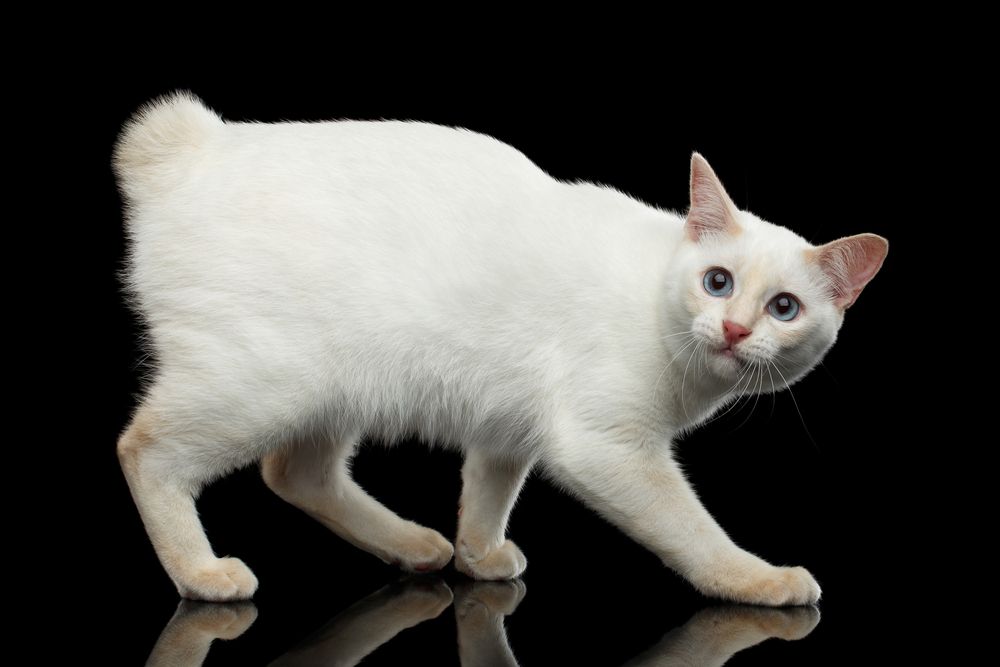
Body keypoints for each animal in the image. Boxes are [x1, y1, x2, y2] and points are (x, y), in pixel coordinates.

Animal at [113, 91, 888, 608]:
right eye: (717, 282)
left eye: (784, 308)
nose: (734, 331)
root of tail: (195, 145)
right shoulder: (607, 448)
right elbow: (694, 531)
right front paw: (758, 581)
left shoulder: (507, 429)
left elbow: (487, 496)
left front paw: (478, 557)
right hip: (263, 387)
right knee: (144, 450)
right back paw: (202, 575)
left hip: (333, 392)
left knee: (294, 473)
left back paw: (416, 546)